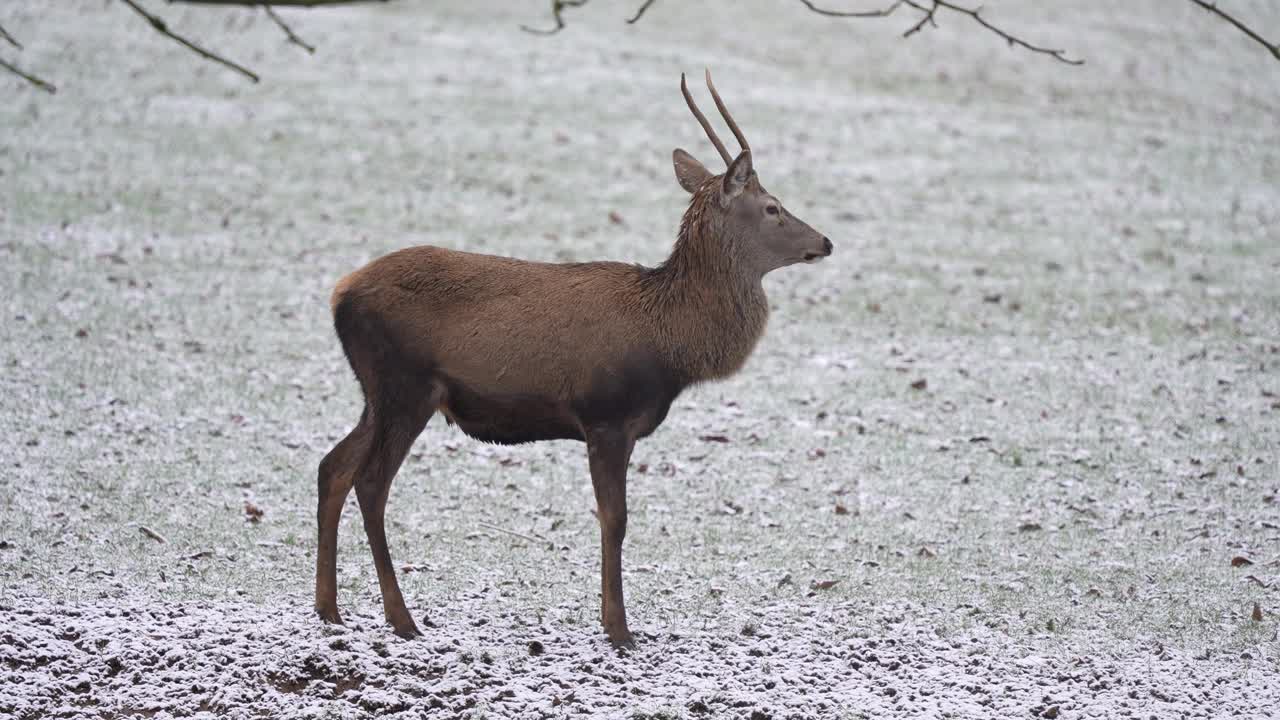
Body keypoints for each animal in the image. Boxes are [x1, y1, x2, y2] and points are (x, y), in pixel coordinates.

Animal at [314, 71, 834, 645]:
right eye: (772, 207)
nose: (825, 241)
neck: (671, 345)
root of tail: (339, 294)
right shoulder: (606, 415)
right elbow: (615, 519)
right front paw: (620, 629)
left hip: (376, 392)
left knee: (332, 466)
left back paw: (328, 608)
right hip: (405, 384)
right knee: (370, 482)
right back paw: (400, 618)